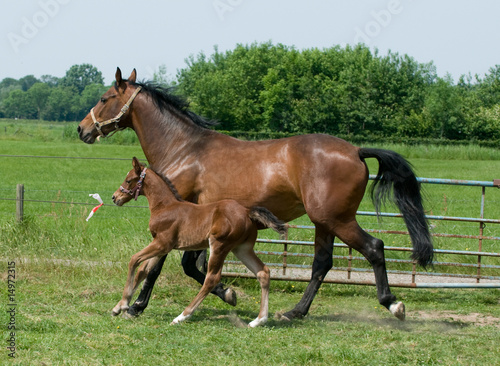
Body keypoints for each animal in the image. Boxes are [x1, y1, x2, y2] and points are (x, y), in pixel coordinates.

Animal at [112, 157, 288, 326]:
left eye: (128, 180)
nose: (115, 197)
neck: (164, 206)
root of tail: (247, 212)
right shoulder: (162, 247)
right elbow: (143, 270)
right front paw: (119, 307)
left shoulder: (162, 243)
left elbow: (134, 260)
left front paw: (124, 305)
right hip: (242, 249)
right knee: (263, 272)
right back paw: (259, 320)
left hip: (219, 245)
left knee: (211, 279)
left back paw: (182, 316)